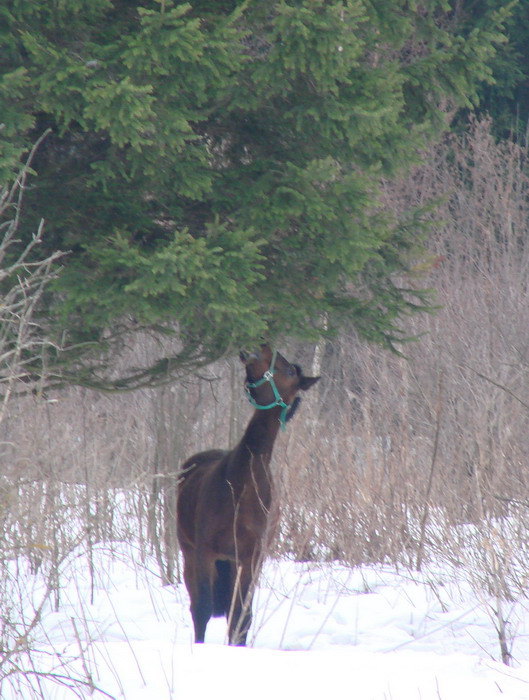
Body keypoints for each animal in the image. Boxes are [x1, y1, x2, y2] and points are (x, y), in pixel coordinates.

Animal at [176, 344, 318, 644]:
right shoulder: (206, 553)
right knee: (197, 606)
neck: (242, 486)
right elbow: (203, 609)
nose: (262, 345)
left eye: (290, 371)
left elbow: (242, 616)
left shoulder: (250, 558)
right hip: (190, 553)